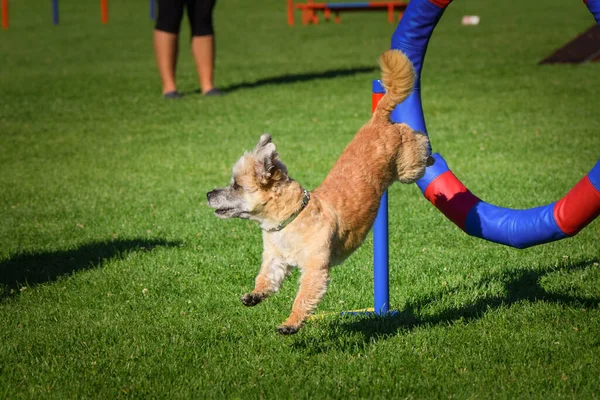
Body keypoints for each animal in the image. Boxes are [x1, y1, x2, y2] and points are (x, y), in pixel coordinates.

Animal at [206, 50, 432, 338]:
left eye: (236, 185)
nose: (208, 194)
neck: (290, 220)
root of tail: (377, 120)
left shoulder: (315, 270)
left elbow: (302, 299)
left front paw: (290, 323)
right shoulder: (275, 261)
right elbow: (265, 279)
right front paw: (254, 295)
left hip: (407, 167)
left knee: (419, 143)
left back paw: (431, 153)